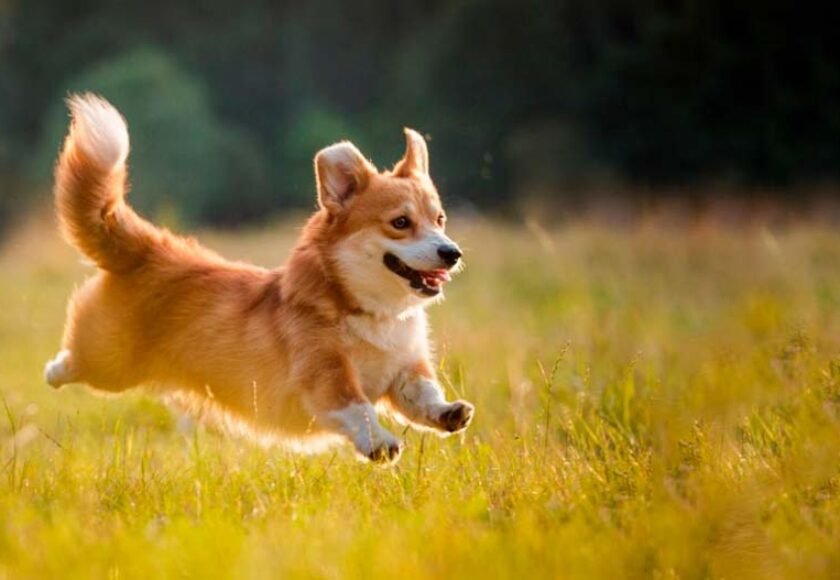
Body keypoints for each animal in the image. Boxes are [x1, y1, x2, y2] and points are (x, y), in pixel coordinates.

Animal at [42, 96, 472, 466]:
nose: (452, 253)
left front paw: (449, 412)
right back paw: (54, 371)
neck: (370, 311)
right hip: (109, 363)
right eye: (400, 222)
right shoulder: (325, 374)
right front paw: (380, 443)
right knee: (72, 362)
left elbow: (422, 394)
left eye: (439, 219)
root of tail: (149, 247)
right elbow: (358, 407)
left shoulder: (405, 368)